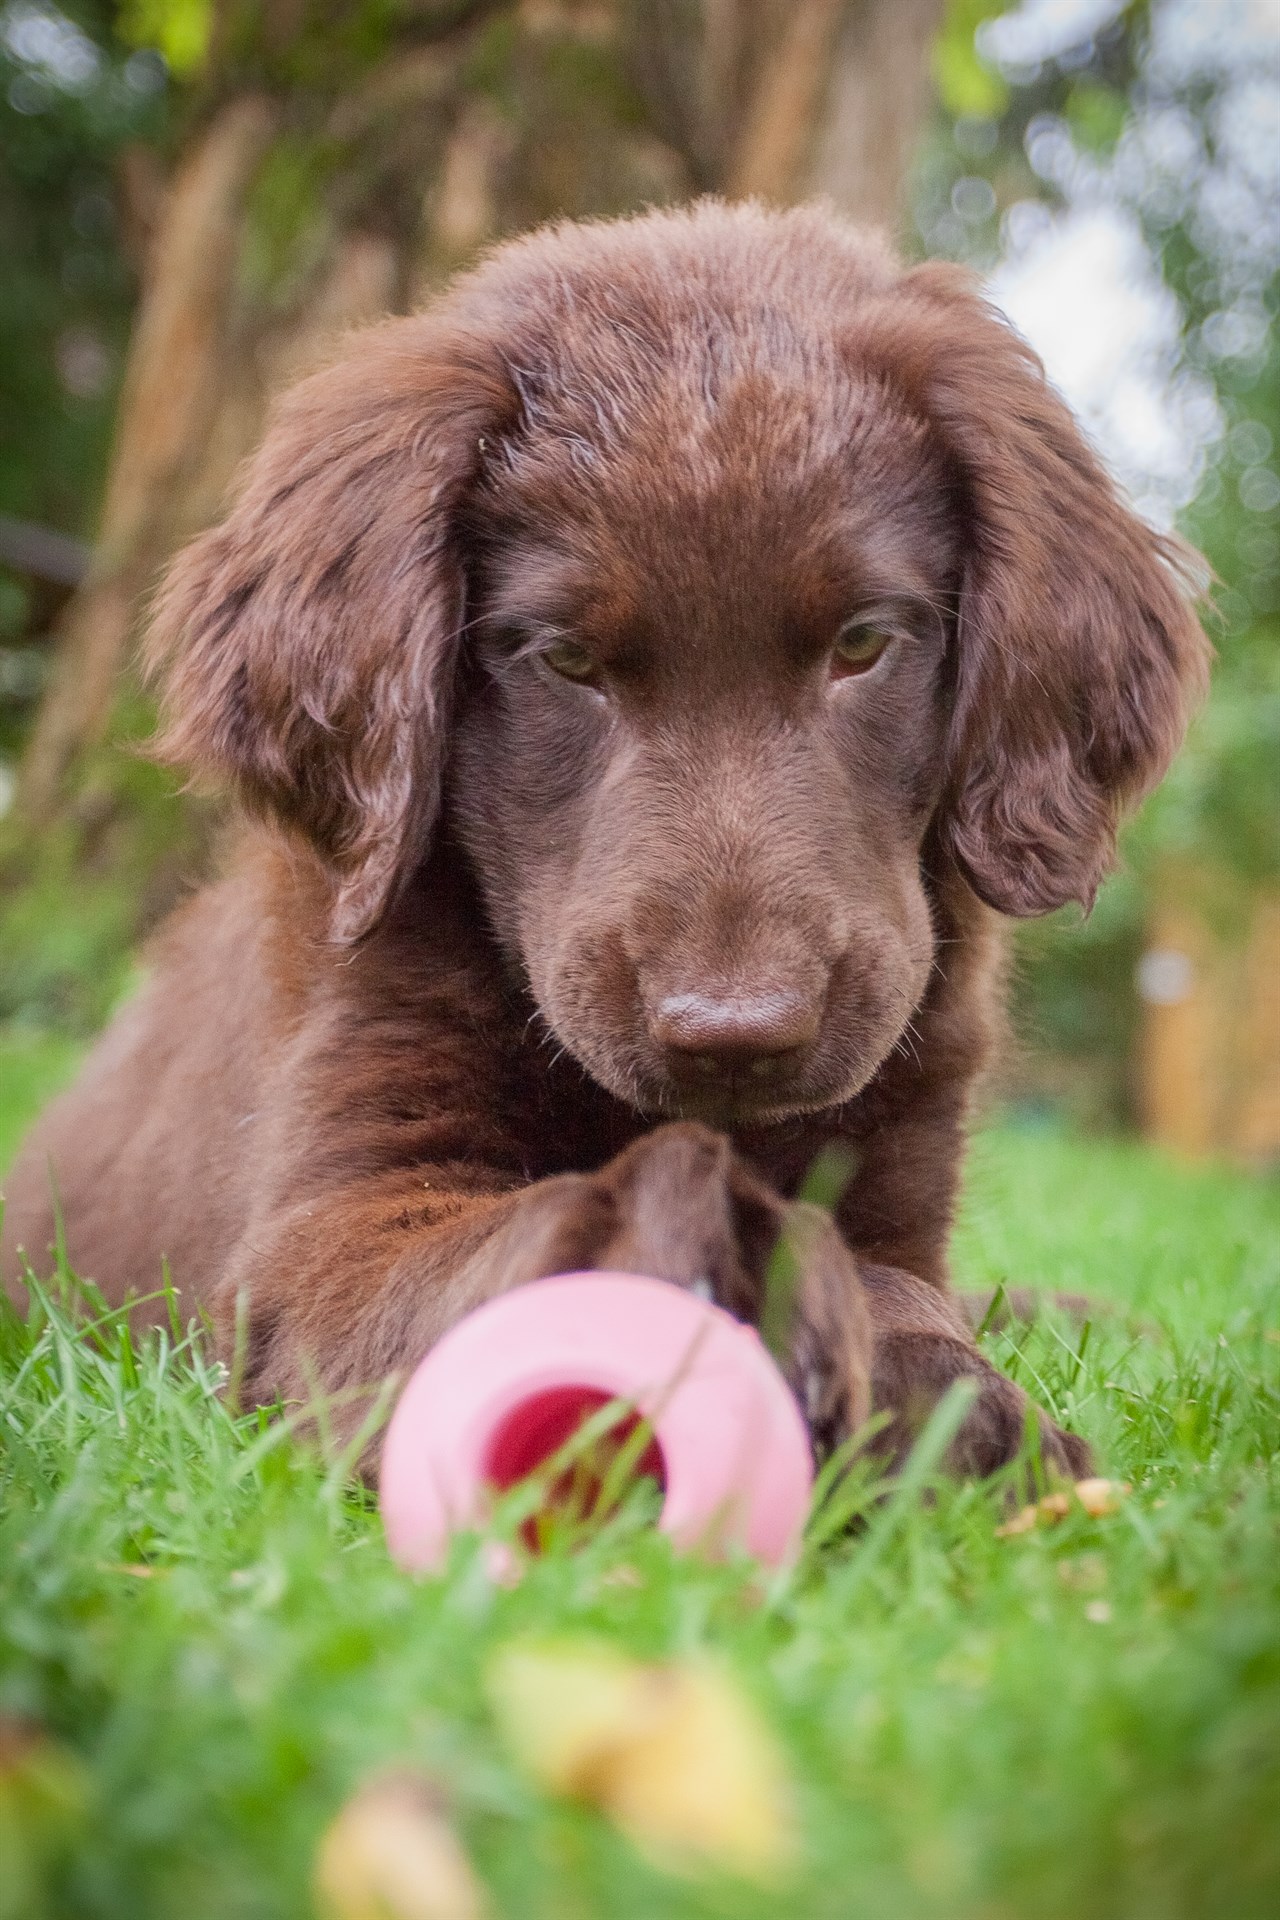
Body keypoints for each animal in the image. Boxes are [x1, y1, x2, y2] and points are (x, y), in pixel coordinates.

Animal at [2, 202, 1212, 1466]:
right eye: (565, 659)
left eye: (862, 644)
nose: (734, 1034)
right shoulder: (330, 1219)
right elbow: (510, 1252)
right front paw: (681, 1246)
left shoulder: (900, 1163)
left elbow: (903, 1287)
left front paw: (948, 1398)